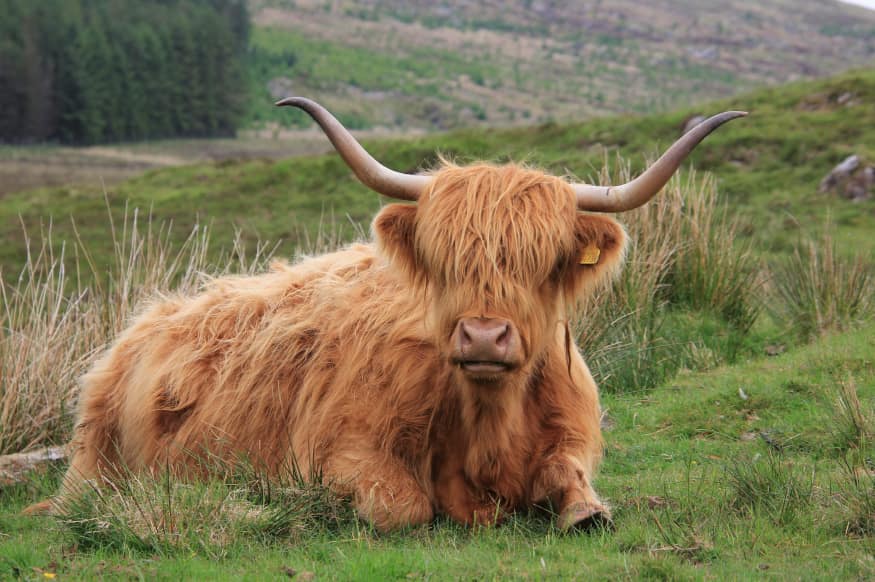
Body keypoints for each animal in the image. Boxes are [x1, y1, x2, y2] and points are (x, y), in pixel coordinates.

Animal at [35, 99, 744, 531]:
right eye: (443, 258)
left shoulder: (572, 438)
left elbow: (579, 495)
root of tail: (153, 316)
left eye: (541, 261)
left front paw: (582, 510)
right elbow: (404, 507)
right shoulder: (344, 449)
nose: (483, 335)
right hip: (96, 460)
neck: (487, 423)